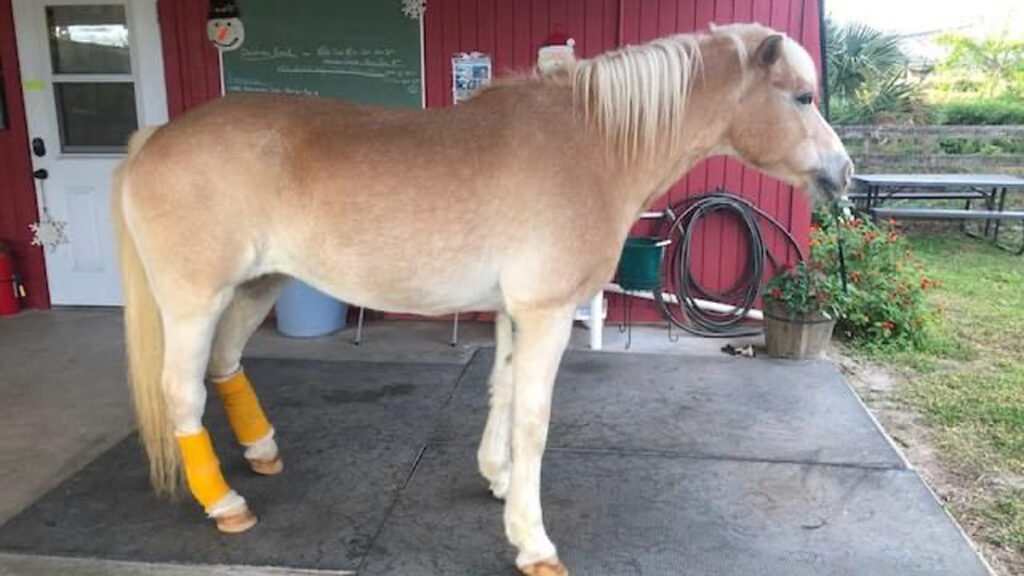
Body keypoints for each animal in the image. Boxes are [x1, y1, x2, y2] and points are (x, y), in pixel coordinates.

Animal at [114, 22, 847, 573]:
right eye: (803, 97)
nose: (842, 174)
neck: (592, 144)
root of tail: (155, 139)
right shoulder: (546, 312)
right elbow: (534, 418)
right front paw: (532, 541)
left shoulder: (508, 311)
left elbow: (501, 389)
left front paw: (496, 478)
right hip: (194, 302)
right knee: (183, 393)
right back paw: (226, 505)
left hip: (255, 288)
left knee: (224, 366)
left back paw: (263, 453)